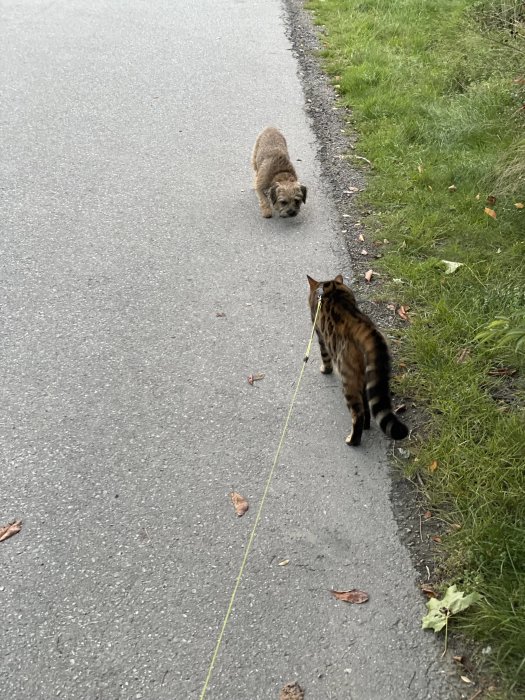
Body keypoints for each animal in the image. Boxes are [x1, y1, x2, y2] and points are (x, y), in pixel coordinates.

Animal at [308, 274, 410, 448]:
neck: (328, 287)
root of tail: (363, 327)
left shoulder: (320, 334)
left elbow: (325, 357)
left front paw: (325, 369)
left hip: (349, 377)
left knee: (358, 413)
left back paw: (353, 440)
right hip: (365, 374)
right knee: (367, 406)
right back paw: (367, 426)